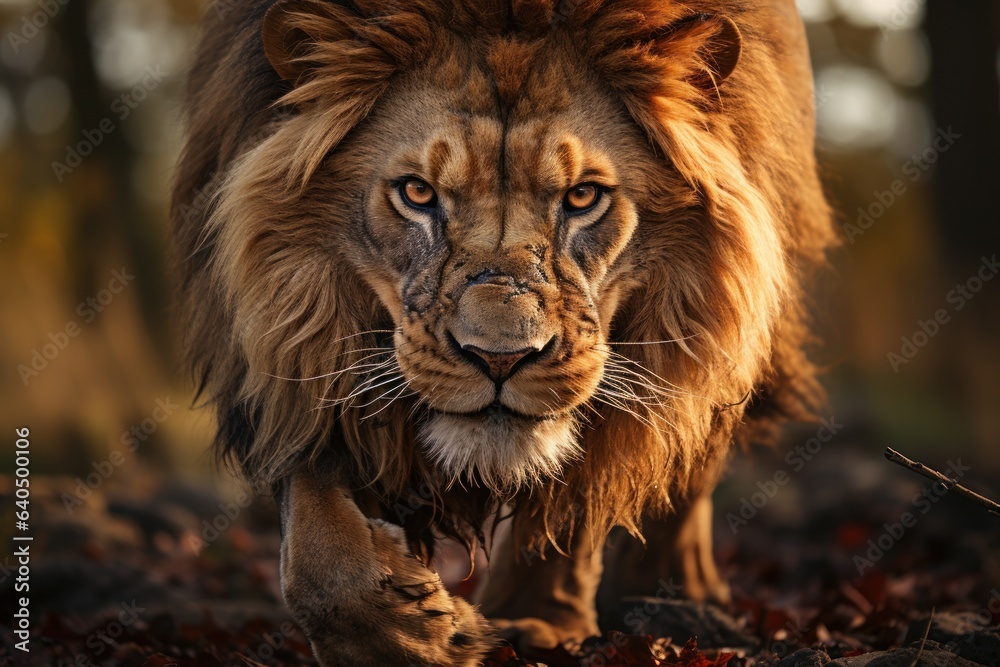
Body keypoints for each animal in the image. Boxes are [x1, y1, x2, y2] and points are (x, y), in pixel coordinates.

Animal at [170, 0, 836, 664]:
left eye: (582, 196)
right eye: (418, 192)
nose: (499, 359)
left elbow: (587, 489)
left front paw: (534, 618)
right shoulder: (287, 348)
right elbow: (314, 549)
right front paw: (416, 635)